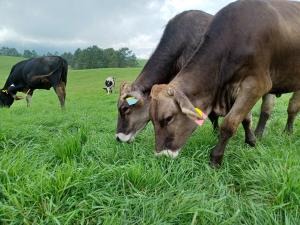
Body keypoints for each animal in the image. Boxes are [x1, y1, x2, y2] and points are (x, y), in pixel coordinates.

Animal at [150, 0, 300, 167]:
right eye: (151, 120)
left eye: (168, 118)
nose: (161, 155)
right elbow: (245, 119)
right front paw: (252, 141)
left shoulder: (256, 84)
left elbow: (229, 123)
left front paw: (215, 159)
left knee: (292, 107)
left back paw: (288, 132)